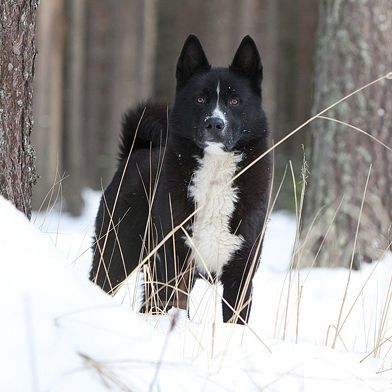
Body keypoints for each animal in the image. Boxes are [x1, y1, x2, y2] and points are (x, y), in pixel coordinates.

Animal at [90, 35, 272, 324]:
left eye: (234, 101)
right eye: (200, 99)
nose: (214, 124)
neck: (214, 177)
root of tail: (136, 150)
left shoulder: (241, 272)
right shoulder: (174, 262)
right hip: (116, 253)